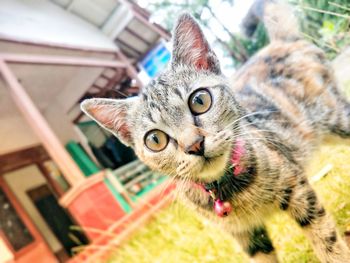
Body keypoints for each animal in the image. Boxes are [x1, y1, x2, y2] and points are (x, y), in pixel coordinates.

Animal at [80, 0, 350, 263]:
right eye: (155, 140)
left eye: (200, 100)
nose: (194, 145)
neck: (228, 188)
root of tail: (279, 42)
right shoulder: (246, 237)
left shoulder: (298, 189)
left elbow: (326, 240)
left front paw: (336, 255)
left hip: (338, 120)